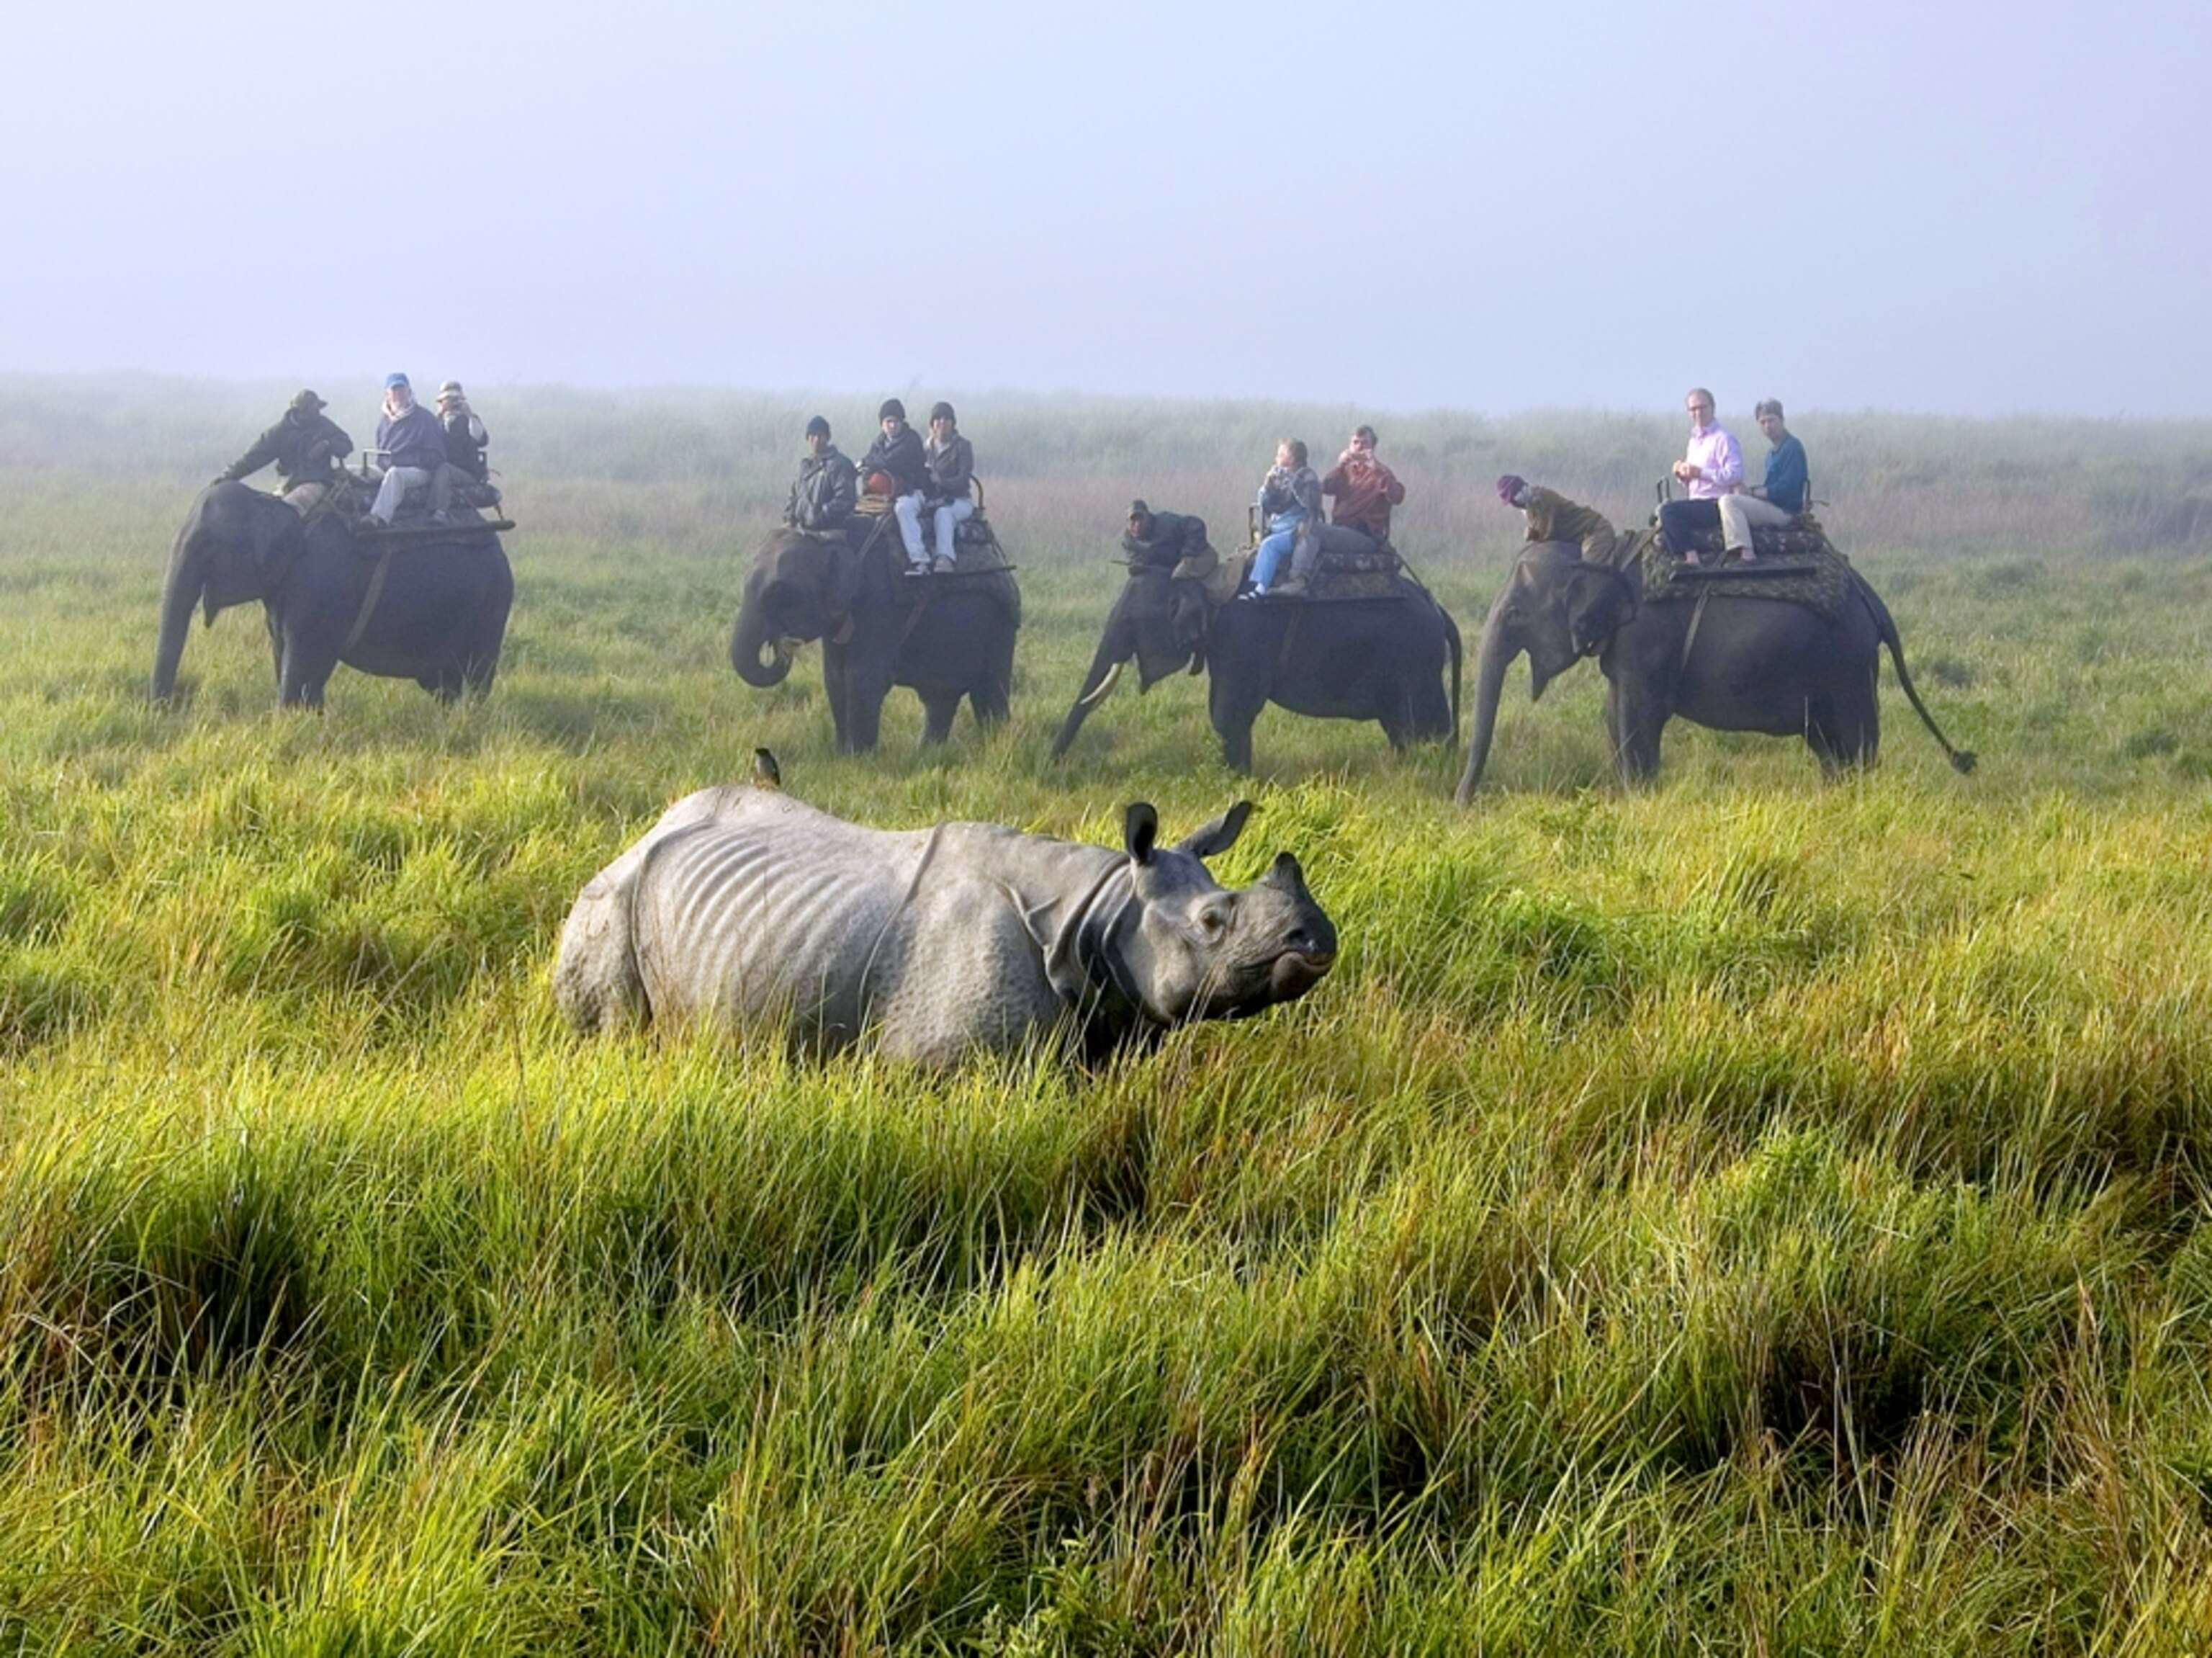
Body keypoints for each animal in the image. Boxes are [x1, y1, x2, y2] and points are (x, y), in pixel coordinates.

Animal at [150, 482, 513, 708]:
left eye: (206, 546)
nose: (167, 708)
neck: (283, 507)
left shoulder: (320, 584)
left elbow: (304, 657)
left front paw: (288, 721)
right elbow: (283, 650)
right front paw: (311, 716)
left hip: (492, 602)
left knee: (477, 672)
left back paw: (471, 715)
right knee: (443, 682)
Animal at [729, 525, 1020, 753]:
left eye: (778, 593)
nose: (781, 642)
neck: (834, 536)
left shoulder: (878, 605)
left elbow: (862, 677)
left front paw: (859, 758)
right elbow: (835, 677)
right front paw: (842, 754)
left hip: (1000, 627)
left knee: (989, 691)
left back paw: (996, 746)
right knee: (940, 696)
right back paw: (927, 753)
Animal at [1051, 566, 1461, 773]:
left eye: (1127, 620)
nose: (1054, 765)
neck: (1209, 581)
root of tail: (1438, 607)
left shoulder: (1241, 639)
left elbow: (1228, 712)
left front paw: (1235, 780)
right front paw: (1241, 779)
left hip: (1414, 662)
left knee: (1422, 724)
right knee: (1403, 727)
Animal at [1455, 539, 1976, 799]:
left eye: (1516, 614)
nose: (1463, 806)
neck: (1603, 557)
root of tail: (1874, 600)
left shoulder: (1646, 639)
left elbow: (1637, 719)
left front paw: (1639, 801)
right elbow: (1614, 717)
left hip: (1846, 663)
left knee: (1855, 739)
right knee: (1828, 744)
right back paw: (1835, 797)